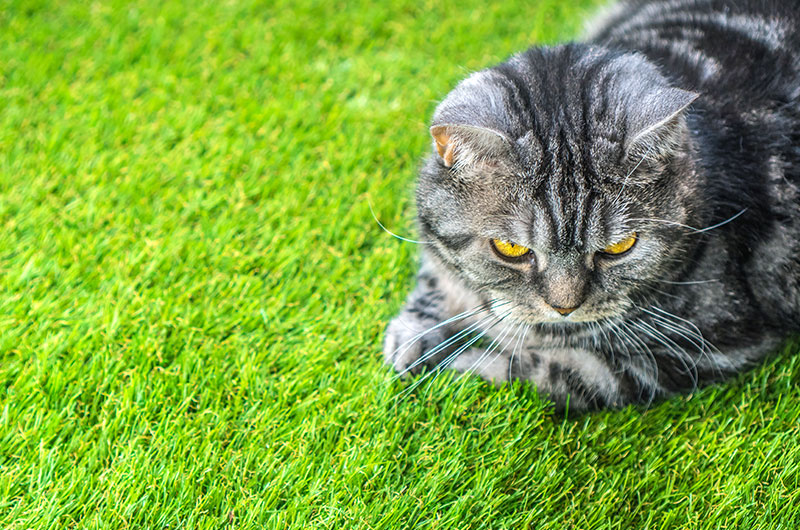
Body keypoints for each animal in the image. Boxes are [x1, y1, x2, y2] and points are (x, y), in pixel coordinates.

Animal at [382, 0, 800, 408]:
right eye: (510, 248)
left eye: (619, 247)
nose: (564, 308)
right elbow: (436, 274)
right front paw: (412, 335)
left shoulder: (701, 346)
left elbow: (547, 372)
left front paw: (453, 366)